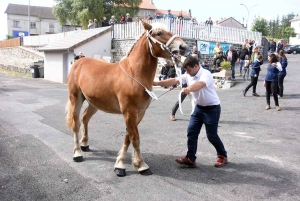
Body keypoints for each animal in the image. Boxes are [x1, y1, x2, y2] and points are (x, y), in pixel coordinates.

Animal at [65, 20, 188, 177]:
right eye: (159, 33)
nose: (183, 47)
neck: (134, 74)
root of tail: (79, 61)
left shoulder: (139, 113)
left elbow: (128, 137)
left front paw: (123, 163)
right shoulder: (129, 112)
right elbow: (135, 138)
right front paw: (139, 165)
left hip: (94, 102)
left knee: (85, 117)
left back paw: (85, 144)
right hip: (76, 99)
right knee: (76, 124)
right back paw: (77, 153)